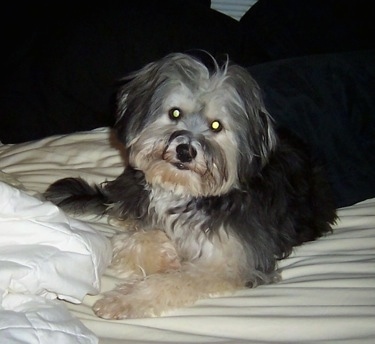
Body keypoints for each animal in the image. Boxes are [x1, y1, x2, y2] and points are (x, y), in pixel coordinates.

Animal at [44, 52, 338, 318]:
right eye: (175, 113)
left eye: (216, 126)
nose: (185, 150)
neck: (186, 192)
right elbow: (127, 240)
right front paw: (167, 257)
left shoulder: (234, 262)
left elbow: (173, 281)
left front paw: (123, 300)